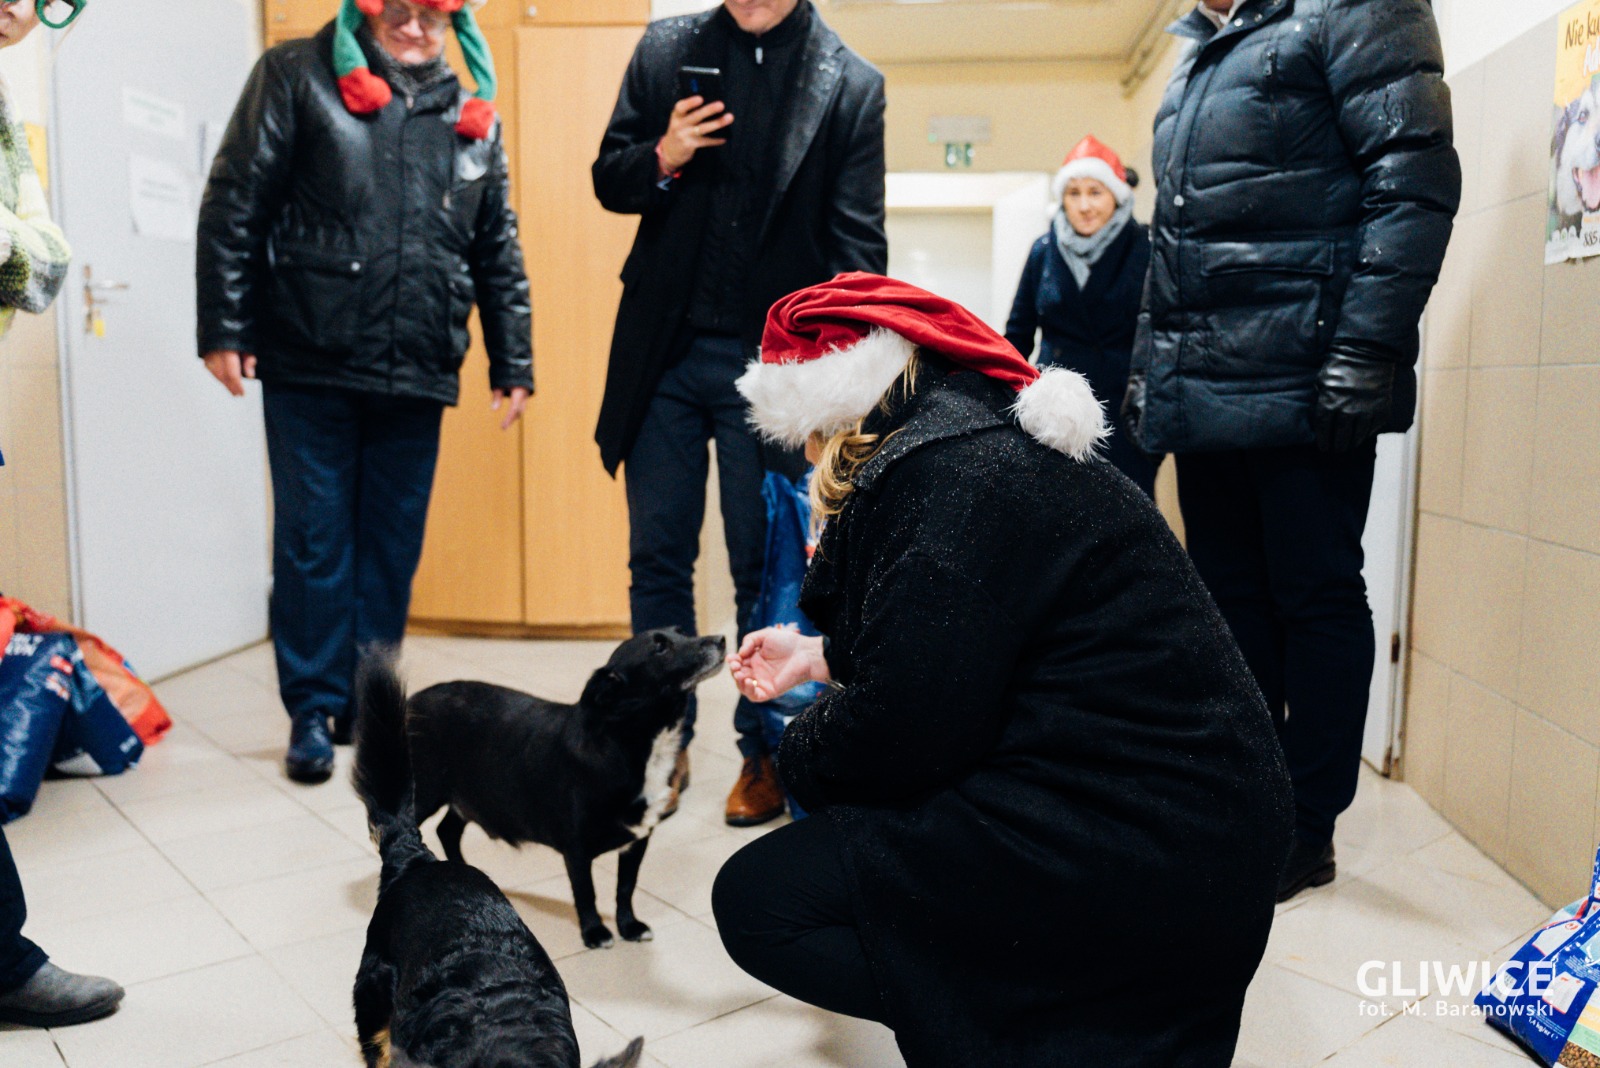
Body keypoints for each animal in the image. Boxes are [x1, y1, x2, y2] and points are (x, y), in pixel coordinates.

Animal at [396, 629, 729, 946]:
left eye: (681, 631)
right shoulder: (576, 850)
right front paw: (595, 932)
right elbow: (586, 893)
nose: (722, 640)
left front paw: (629, 926)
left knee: (447, 831)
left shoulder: (637, 842)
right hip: (423, 795)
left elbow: (625, 888)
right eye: (660, 648)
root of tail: (411, 701)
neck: (625, 740)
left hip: (468, 798)